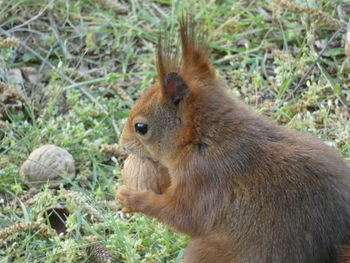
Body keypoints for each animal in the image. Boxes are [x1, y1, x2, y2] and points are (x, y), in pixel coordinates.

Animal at [116, 15, 350, 262]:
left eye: (140, 127)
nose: (123, 143)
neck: (204, 137)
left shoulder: (202, 180)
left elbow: (184, 216)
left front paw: (130, 197)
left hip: (206, 251)